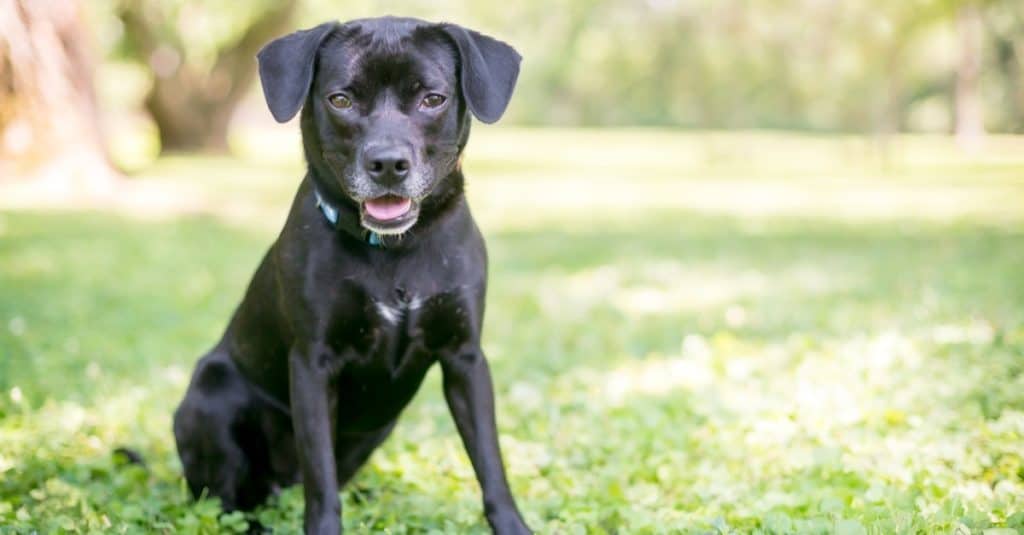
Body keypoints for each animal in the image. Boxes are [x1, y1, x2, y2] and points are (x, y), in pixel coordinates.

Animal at [169, 16, 528, 532]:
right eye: (341, 99)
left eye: (432, 99)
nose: (388, 164)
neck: (394, 251)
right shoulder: (313, 366)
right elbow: (320, 481)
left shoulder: (465, 360)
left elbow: (491, 465)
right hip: (210, 396)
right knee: (227, 499)